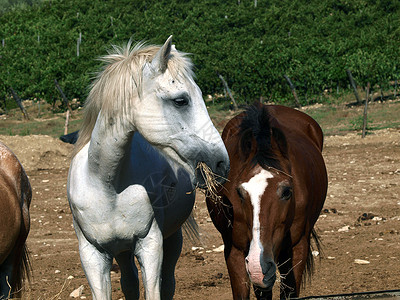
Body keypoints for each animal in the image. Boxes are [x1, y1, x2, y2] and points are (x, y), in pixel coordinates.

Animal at [66, 35, 228, 300]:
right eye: (181, 100)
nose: (221, 163)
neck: (107, 186)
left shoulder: (150, 245)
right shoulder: (92, 255)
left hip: (172, 240)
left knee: (168, 283)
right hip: (122, 251)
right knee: (129, 282)